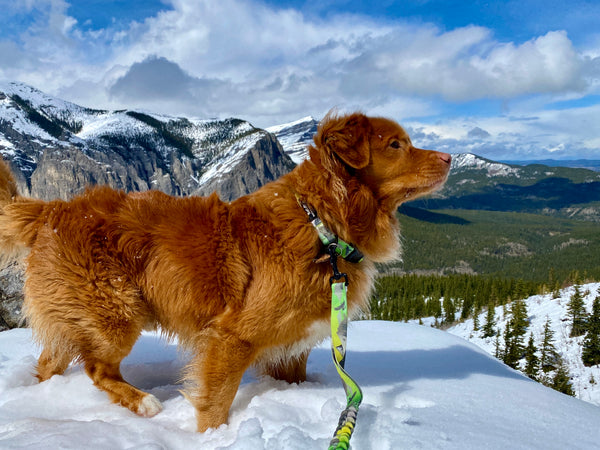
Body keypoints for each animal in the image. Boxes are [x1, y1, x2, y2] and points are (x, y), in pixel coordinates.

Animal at [0, 111, 450, 428]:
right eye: (396, 144)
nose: (447, 157)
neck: (322, 226)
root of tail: (53, 209)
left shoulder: (291, 350)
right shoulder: (232, 337)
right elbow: (216, 402)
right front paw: (211, 437)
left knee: (50, 363)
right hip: (117, 313)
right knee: (97, 367)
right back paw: (143, 403)